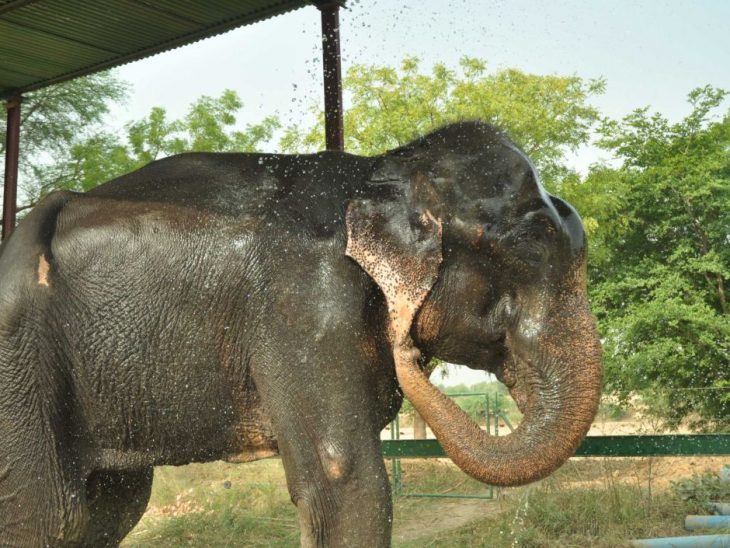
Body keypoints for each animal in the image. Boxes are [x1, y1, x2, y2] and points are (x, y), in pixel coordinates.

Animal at [0, 122, 600, 544]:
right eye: (530, 247)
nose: (407, 344)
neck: (380, 170)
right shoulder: (306, 304)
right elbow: (345, 480)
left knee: (110, 510)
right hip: (19, 372)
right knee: (49, 518)